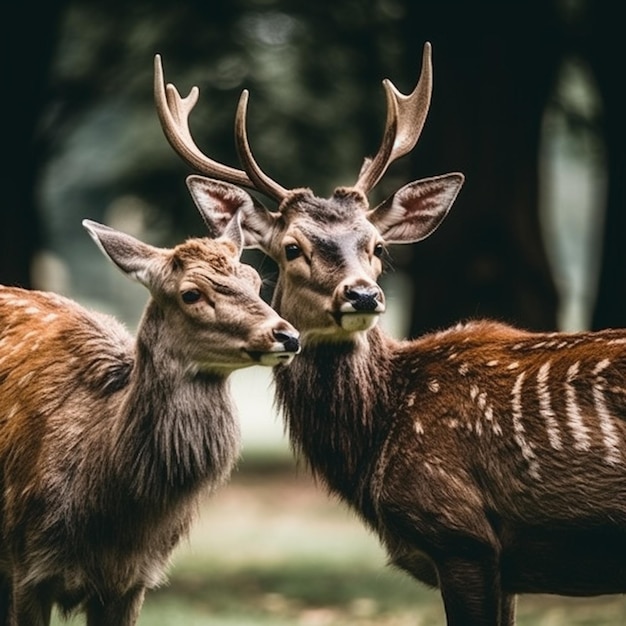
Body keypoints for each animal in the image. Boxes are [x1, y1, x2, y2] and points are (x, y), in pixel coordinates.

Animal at [155, 45, 626, 624]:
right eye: (291, 248)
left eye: (377, 245)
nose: (362, 295)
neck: (378, 437)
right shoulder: (503, 564)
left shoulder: (461, 534)